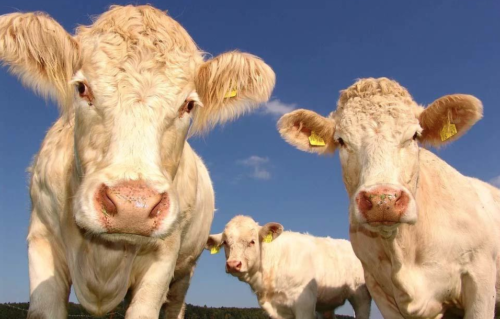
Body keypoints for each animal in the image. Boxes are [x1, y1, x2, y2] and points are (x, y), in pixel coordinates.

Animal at [0, 5, 276, 319]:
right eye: (82, 88)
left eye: (189, 105)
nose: (132, 207)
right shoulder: (42, 239)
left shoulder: (164, 257)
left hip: (184, 271)